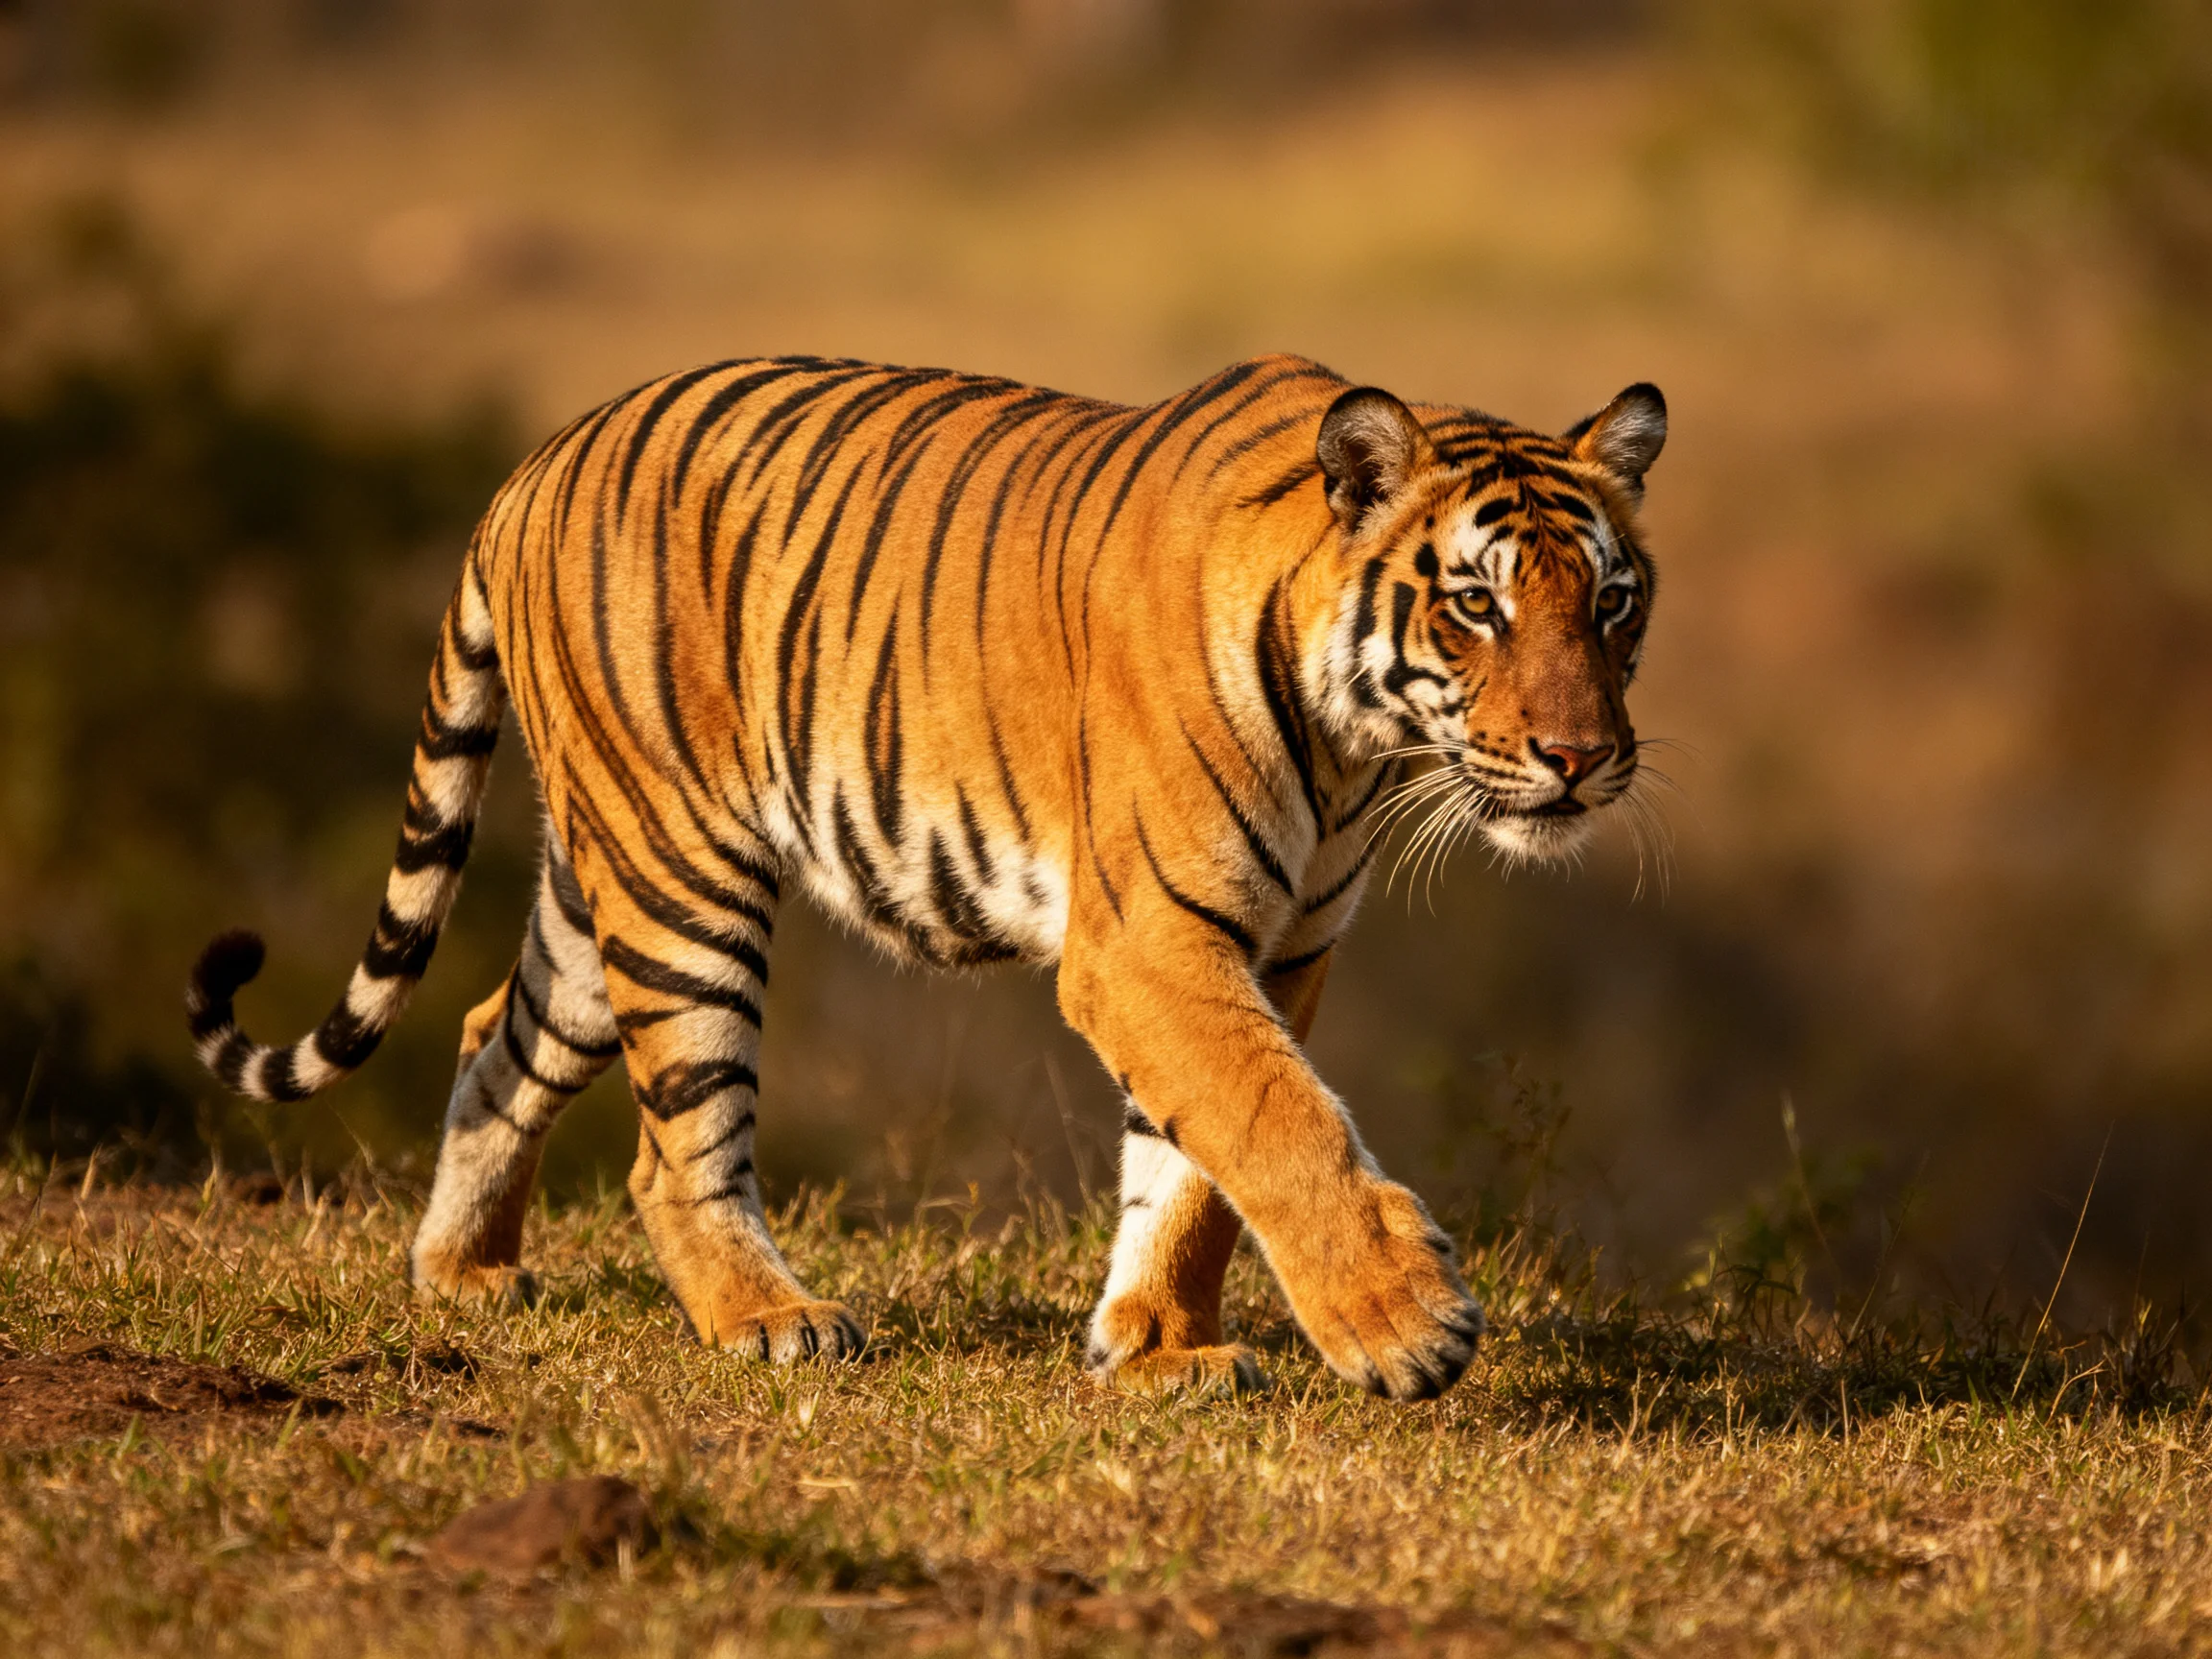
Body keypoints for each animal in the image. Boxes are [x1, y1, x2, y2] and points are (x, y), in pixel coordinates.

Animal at [186, 353, 1664, 1401]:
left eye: (1612, 603)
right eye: (1476, 604)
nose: (1583, 757)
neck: (1358, 745)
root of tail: (532, 467)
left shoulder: (1277, 946)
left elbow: (1190, 1165)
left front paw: (1157, 1348)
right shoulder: (1150, 942)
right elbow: (1272, 1123)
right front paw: (1404, 1327)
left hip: (597, 880)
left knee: (498, 1035)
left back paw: (465, 1276)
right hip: (682, 880)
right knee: (673, 1150)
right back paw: (773, 1322)